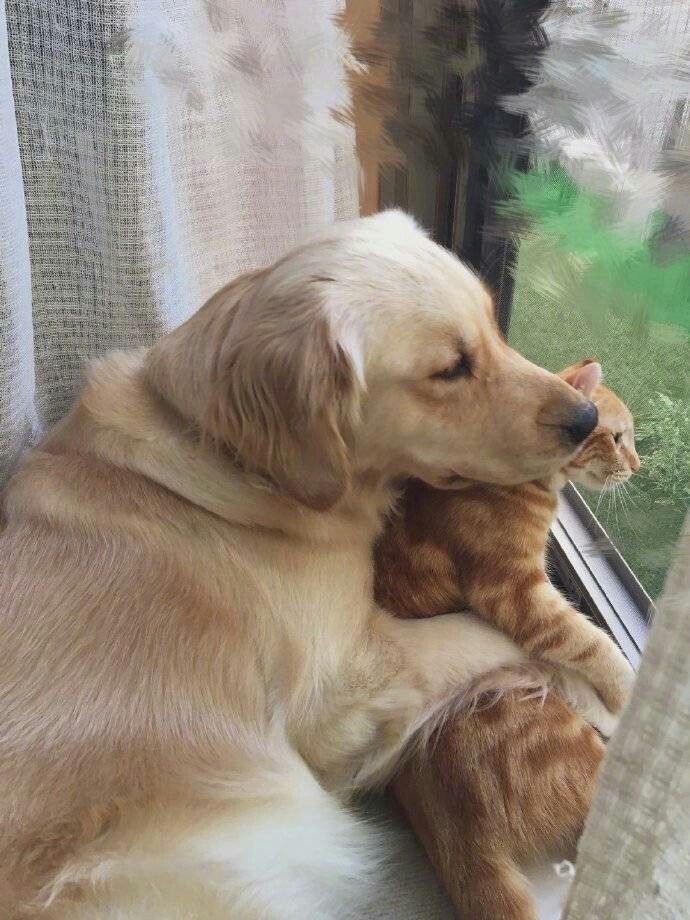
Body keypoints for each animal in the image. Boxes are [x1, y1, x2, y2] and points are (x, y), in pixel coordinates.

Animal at [0, 212, 596, 916]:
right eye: (450, 370)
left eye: (495, 328)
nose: (587, 418)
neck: (228, 457)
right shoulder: (340, 689)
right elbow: (492, 637)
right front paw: (600, 689)